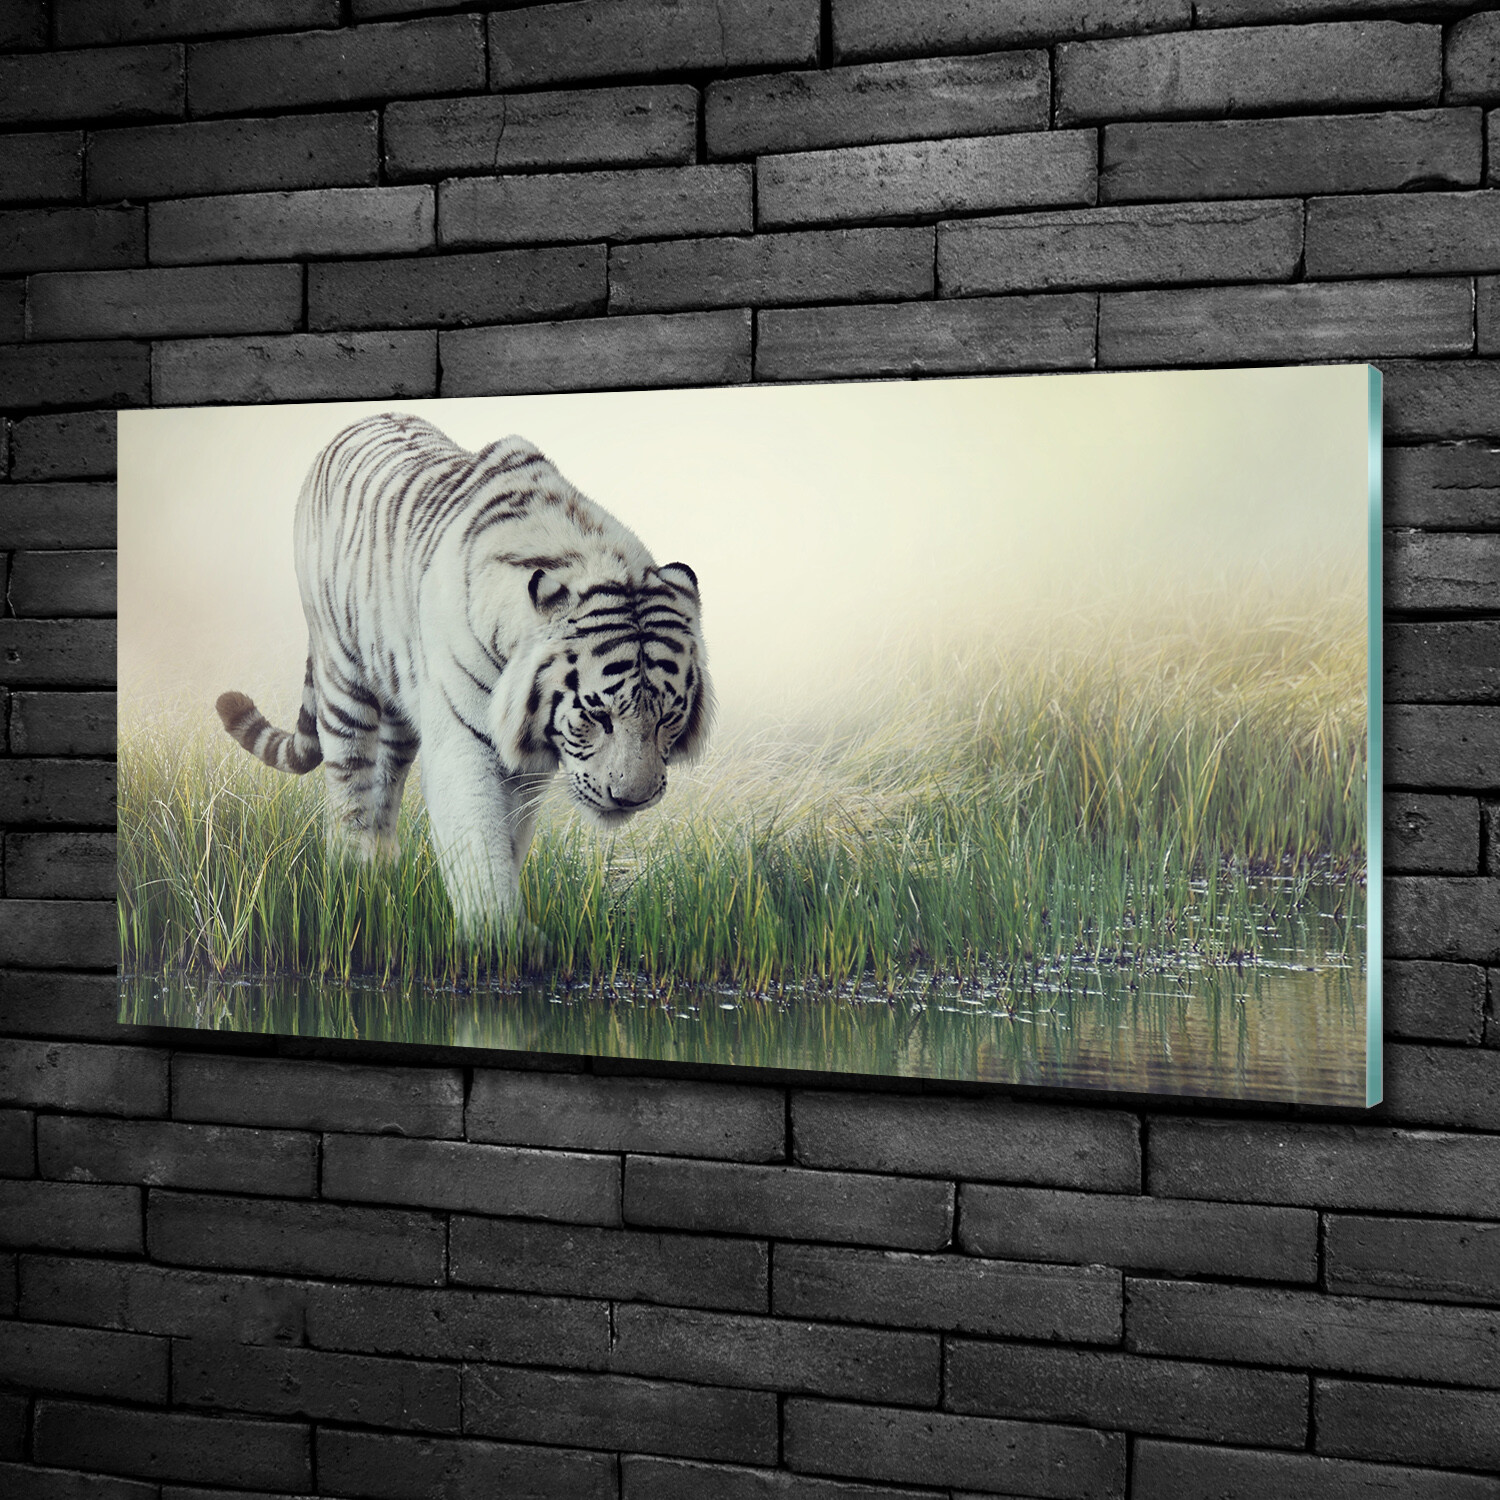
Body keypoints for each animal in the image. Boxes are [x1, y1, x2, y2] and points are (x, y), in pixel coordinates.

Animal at [215, 412, 712, 932]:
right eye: (597, 716)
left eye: (668, 718)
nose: (632, 799)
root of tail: (359, 422)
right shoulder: (463, 742)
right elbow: (478, 840)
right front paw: (499, 935)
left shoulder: (526, 764)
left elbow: (509, 838)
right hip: (342, 677)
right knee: (349, 785)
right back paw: (353, 872)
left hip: (402, 705)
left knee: (386, 783)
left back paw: (383, 868)